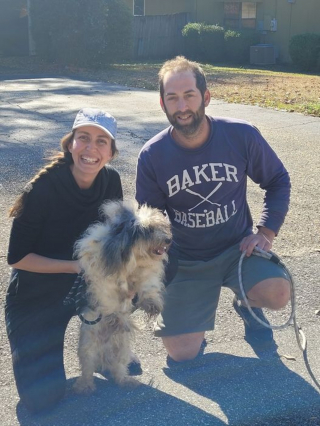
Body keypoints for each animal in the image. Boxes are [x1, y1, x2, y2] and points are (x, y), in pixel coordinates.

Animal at [73, 200, 172, 392]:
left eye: (161, 226)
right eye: (148, 230)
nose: (168, 240)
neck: (134, 258)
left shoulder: (147, 273)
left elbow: (148, 286)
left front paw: (152, 305)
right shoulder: (100, 270)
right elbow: (108, 291)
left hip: (122, 350)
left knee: (118, 370)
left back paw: (127, 381)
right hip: (87, 348)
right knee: (87, 370)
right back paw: (84, 387)